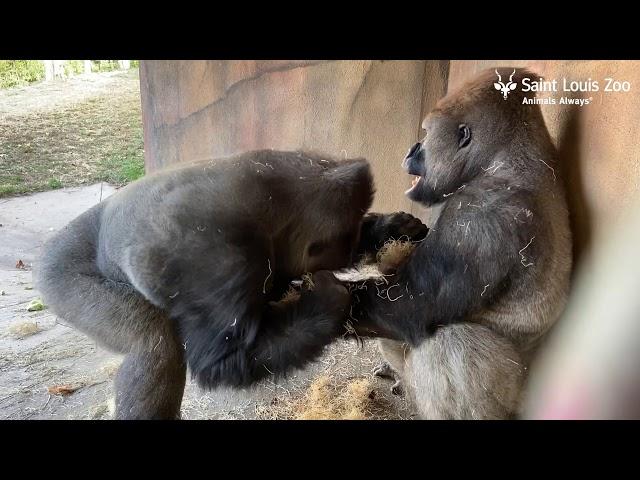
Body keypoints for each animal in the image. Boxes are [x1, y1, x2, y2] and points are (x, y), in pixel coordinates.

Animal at [33, 148, 424, 418]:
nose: (347, 252)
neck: (274, 201)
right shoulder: (218, 260)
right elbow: (220, 360)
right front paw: (331, 300)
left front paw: (392, 228)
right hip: (60, 273)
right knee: (153, 347)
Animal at [350, 68, 576, 420]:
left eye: (427, 135)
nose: (412, 150)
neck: (496, 161)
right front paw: (388, 228)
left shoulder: (479, 215)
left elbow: (408, 303)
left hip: (514, 396)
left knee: (450, 341)